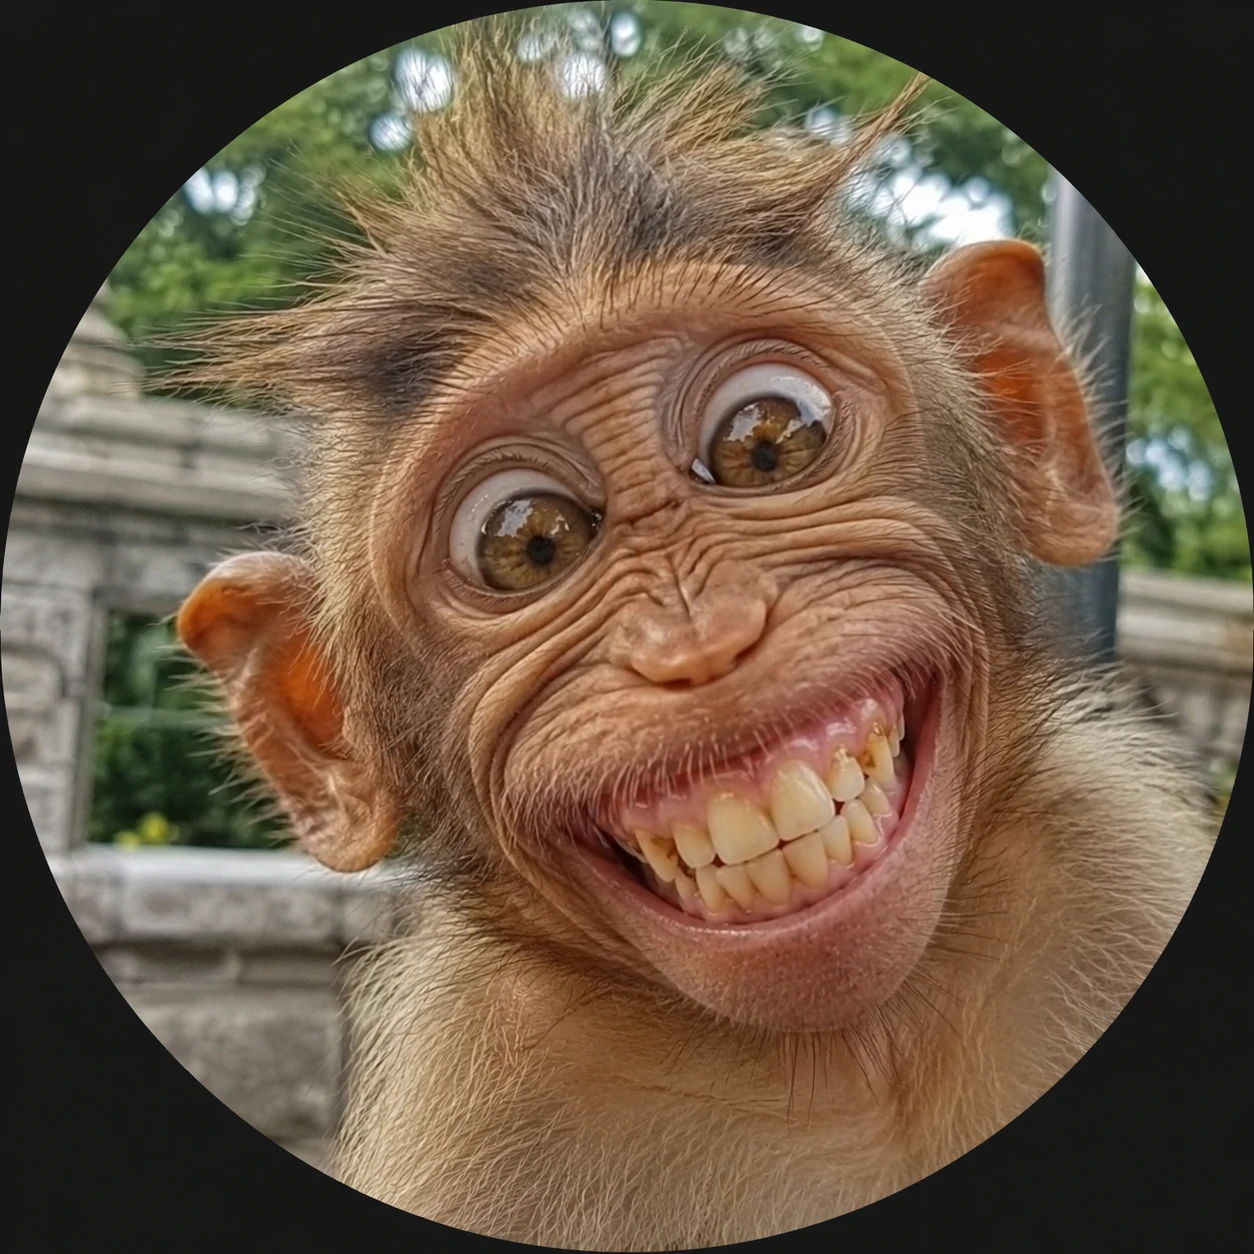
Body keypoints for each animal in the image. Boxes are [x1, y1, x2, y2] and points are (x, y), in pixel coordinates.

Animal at [172, 20, 1218, 1250]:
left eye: (766, 443)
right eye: (529, 543)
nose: (703, 639)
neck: (856, 1048)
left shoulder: (1108, 868)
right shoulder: (486, 1108)